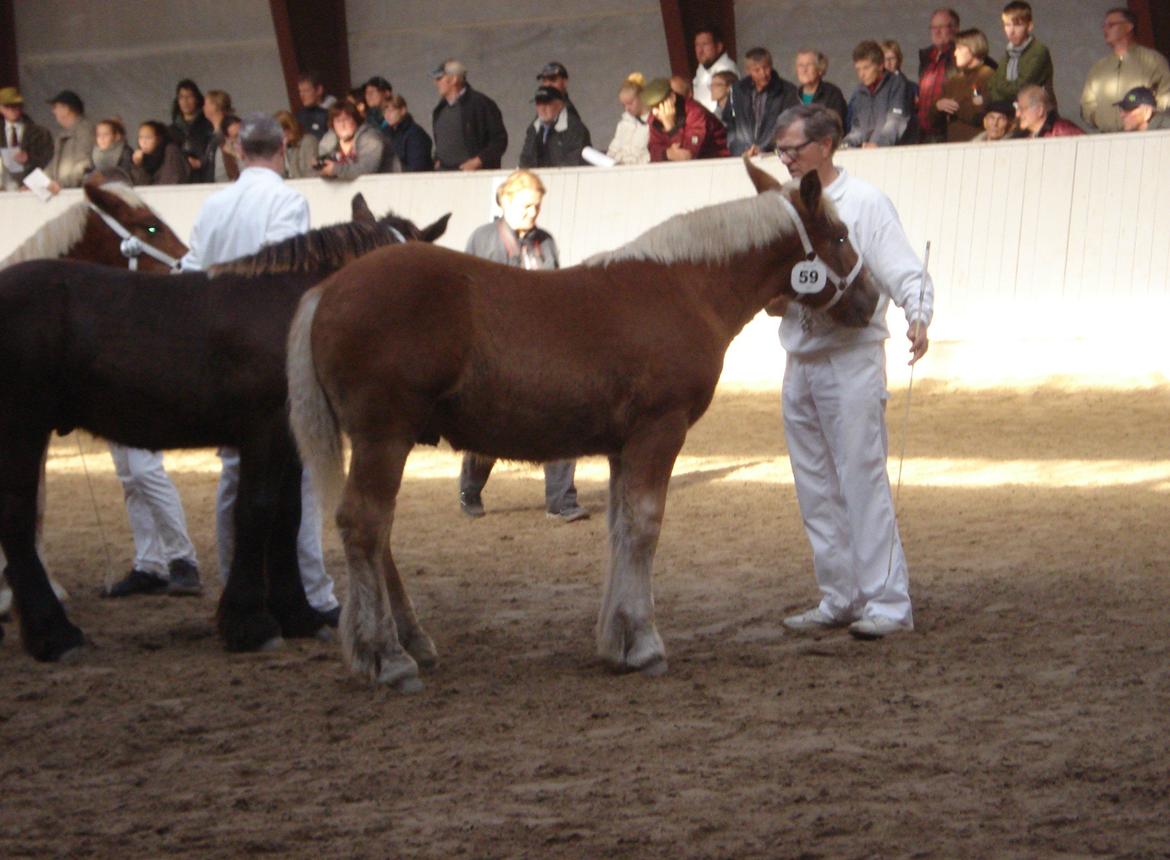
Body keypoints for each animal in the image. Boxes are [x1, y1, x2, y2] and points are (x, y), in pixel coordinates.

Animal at [0, 198, 446, 664]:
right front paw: (249, 624)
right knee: (17, 519)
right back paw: (54, 634)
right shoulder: (263, 430)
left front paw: (298, 614)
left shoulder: (288, 440)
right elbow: (256, 510)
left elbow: (288, 516)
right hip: (20, 428)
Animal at [285, 157, 879, 688]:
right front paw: (643, 644)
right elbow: (644, 525)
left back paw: (407, 643)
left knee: (376, 531)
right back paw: (387, 657)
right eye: (841, 235)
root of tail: (327, 290)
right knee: (364, 525)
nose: (871, 298)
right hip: (383, 438)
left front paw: (616, 642)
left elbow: (620, 527)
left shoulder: (624, 446)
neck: (685, 288)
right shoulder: (660, 432)